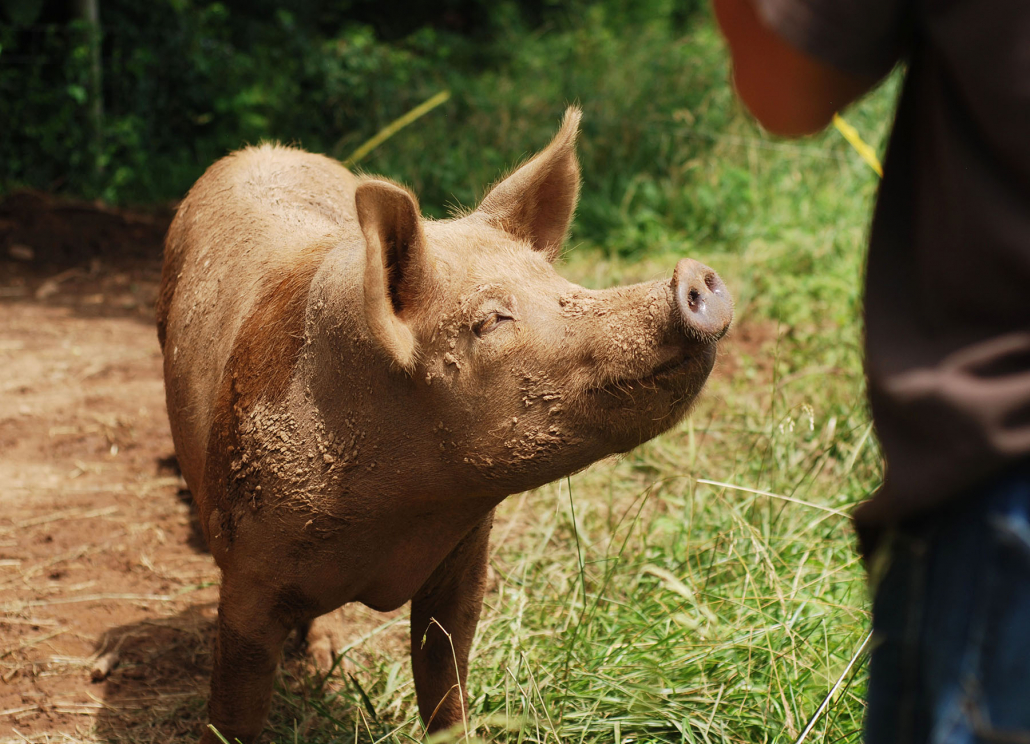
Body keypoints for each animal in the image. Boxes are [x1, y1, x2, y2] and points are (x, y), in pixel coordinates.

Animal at [154, 108, 733, 741]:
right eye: (490, 320)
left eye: (561, 288)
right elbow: (235, 706)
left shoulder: (466, 561)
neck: (400, 517)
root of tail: (262, 149)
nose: (692, 274)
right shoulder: (246, 579)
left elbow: (445, 675)